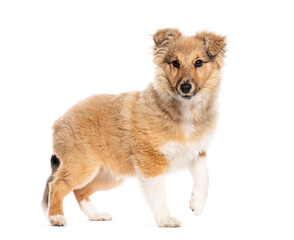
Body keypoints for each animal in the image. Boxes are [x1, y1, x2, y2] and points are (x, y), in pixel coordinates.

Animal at [42, 28, 227, 227]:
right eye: (175, 63)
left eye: (198, 62)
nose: (185, 87)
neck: (184, 111)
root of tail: (59, 120)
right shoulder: (150, 160)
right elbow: (158, 193)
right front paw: (165, 219)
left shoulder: (196, 151)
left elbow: (204, 177)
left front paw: (197, 204)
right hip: (82, 165)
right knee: (57, 185)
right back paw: (56, 217)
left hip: (108, 175)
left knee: (80, 191)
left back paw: (96, 215)